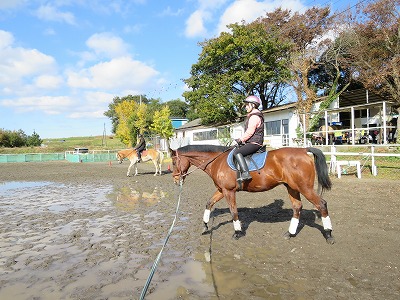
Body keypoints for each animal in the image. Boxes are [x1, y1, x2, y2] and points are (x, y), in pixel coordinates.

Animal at [170, 145, 334, 244]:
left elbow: (234, 211)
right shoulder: (221, 190)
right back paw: (290, 233)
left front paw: (237, 232)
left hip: (305, 188)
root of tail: (304, 150)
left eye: (173, 162)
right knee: (297, 207)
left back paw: (328, 234)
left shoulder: (229, 191)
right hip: (292, 187)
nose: (175, 180)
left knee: (321, 204)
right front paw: (205, 226)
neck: (217, 161)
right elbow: (209, 203)